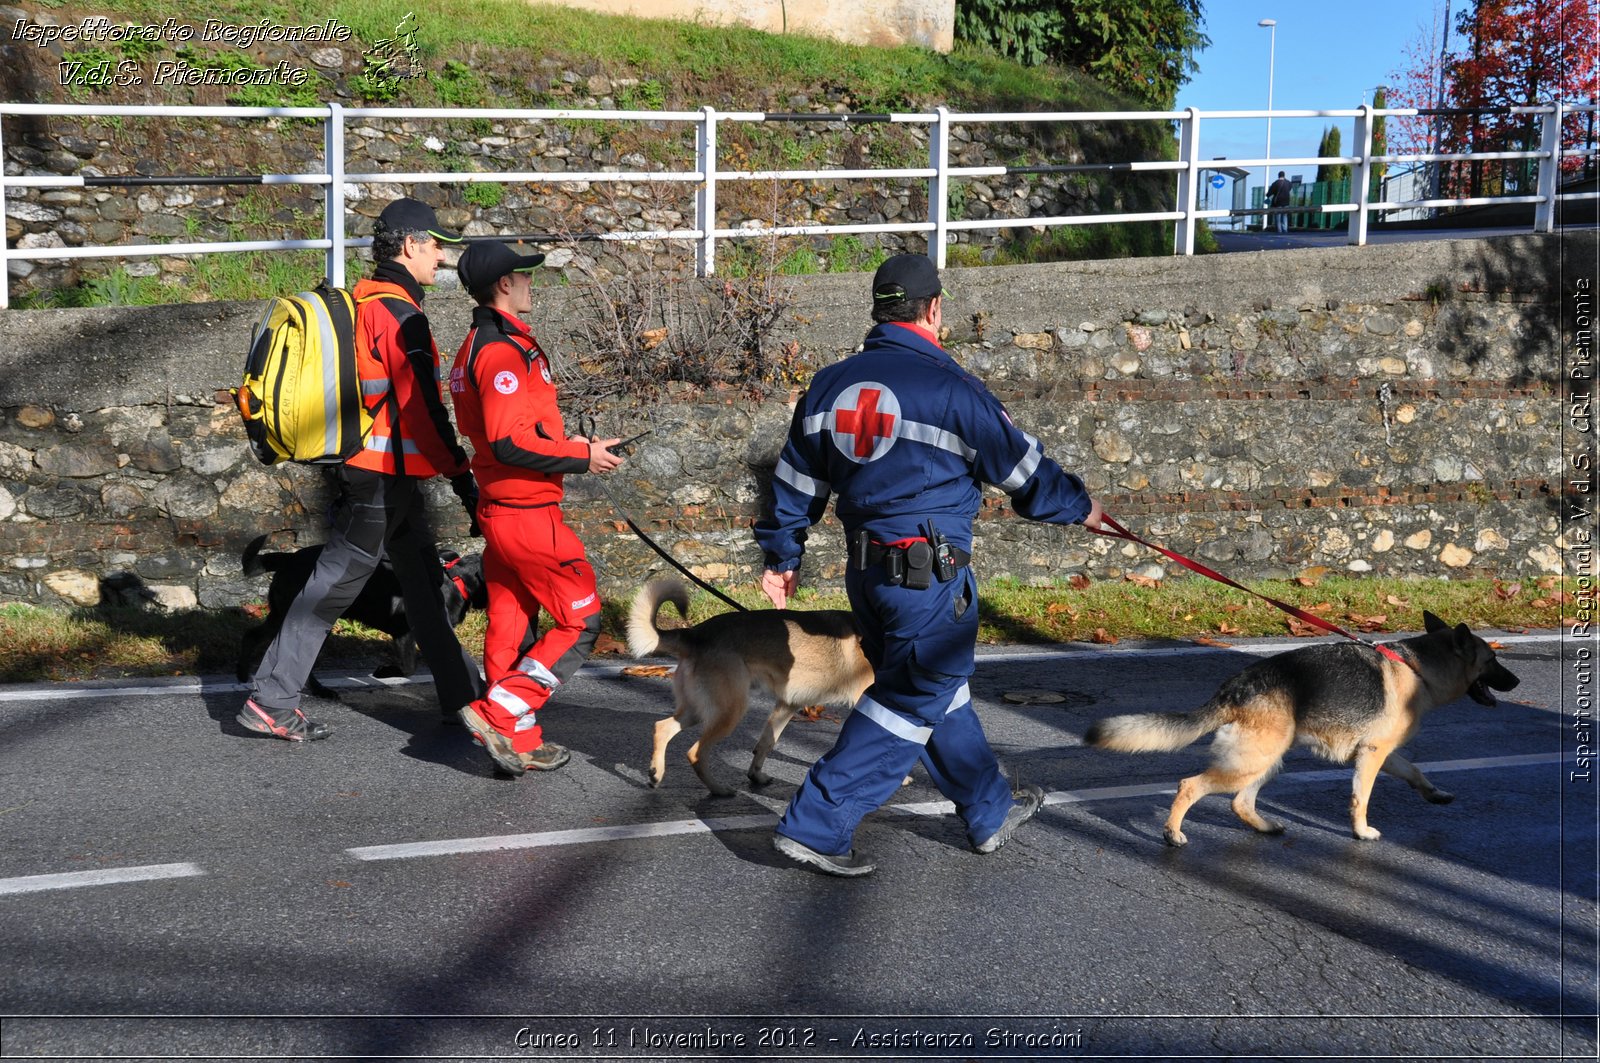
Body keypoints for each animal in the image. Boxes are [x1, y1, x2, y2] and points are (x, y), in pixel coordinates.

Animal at [236, 531, 486, 697]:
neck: (456, 578)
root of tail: (289, 558)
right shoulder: (405, 633)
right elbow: (409, 667)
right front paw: (385, 672)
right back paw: (319, 691)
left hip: (281, 615)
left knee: (252, 635)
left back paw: (242, 675)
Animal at [627, 582, 876, 797]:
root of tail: (696, 634)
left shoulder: (786, 706)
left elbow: (766, 743)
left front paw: (756, 775)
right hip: (729, 712)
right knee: (695, 753)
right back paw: (719, 789)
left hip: (698, 711)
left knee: (661, 728)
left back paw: (656, 774)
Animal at [1081, 614, 1516, 845]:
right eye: (1492, 660)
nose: (1515, 682)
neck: (1419, 668)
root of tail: (1237, 685)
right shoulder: (1372, 756)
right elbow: (1361, 798)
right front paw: (1361, 831)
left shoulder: (1381, 753)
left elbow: (1414, 771)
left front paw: (1434, 793)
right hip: (1251, 761)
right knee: (1190, 785)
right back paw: (1172, 833)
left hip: (1268, 759)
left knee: (1240, 803)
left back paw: (1264, 826)